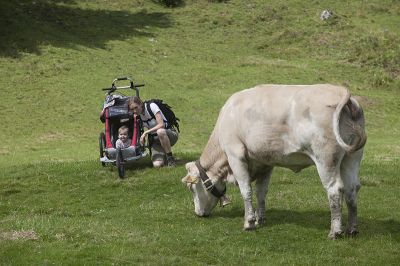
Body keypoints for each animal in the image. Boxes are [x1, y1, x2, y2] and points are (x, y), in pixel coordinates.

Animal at [181, 84, 366, 238]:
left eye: (191, 188)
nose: (198, 213)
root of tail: (340, 91)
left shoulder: (235, 155)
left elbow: (246, 190)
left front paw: (249, 222)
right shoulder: (265, 162)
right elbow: (261, 192)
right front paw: (260, 218)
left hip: (326, 158)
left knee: (335, 189)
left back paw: (335, 231)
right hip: (352, 157)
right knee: (352, 188)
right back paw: (352, 229)